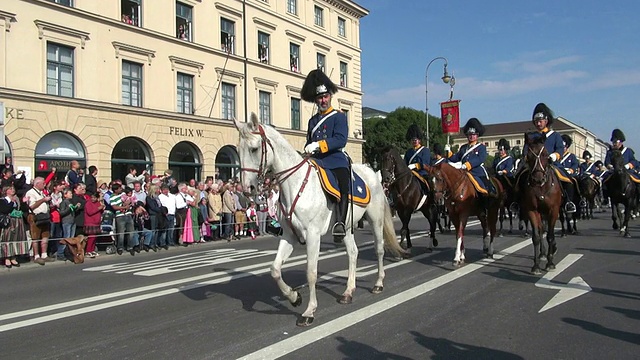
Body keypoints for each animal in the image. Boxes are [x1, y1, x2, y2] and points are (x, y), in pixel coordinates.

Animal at [235, 114, 404, 326]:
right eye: (238, 150)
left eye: (254, 148)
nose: (246, 189)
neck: (296, 184)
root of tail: (373, 174)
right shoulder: (289, 236)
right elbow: (275, 269)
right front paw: (294, 297)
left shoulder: (312, 235)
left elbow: (311, 272)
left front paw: (309, 311)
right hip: (346, 227)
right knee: (353, 253)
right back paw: (348, 291)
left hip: (375, 220)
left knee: (379, 249)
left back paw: (378, 283)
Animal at [524, 134, 564, 274]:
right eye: (528, 155)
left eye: (546, 154)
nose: (538, 179)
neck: (541, 187)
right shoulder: (532, 210)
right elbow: (536, 236)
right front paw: (536, 265)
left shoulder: (553, 210)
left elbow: (550, 236)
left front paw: (550, 263)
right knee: (541, 230)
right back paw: (542, 253)